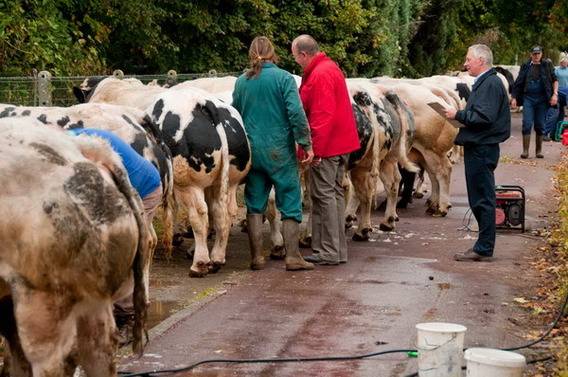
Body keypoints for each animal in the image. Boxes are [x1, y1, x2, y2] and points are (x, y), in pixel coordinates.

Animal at [74, 76, 252, 276]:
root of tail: (202, 101)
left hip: (188, 182)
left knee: (199, 214)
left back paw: (199, 262)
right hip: (225, 182)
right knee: (223, 212)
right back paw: (216, 258)